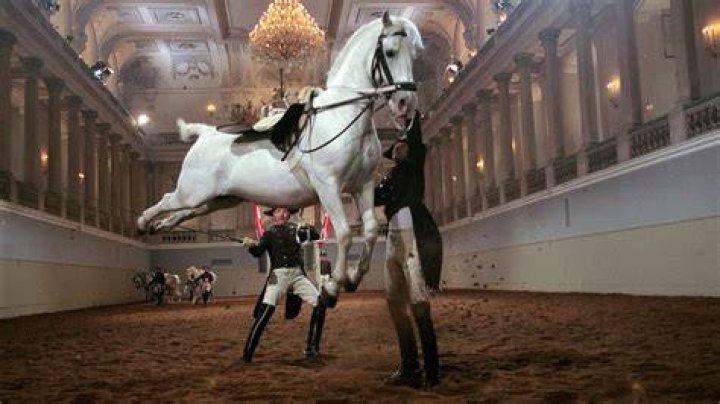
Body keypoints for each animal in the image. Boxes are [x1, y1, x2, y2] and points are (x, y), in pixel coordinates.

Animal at [136, 12, 423, 298]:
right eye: (390, 52)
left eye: (414, 55)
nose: (405, 103)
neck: (341, 116)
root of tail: (205, 133)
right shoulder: (328, 187)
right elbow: (343, 234)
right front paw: (333, 285)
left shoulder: (362, 185)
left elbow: (371, 230)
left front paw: (353, 278)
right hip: (193, 191)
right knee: (167, 200)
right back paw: (142, 224)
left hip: (220, 199)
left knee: (186, 212)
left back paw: (160, 227)